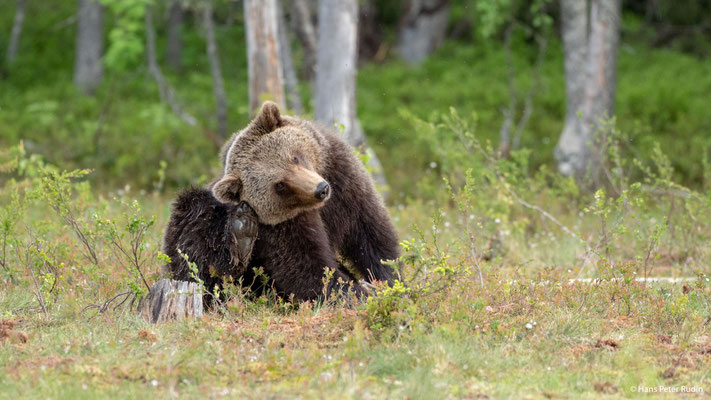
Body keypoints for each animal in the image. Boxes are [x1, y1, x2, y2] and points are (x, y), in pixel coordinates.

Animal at [164, 101, 404, 302]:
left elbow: (370, 232)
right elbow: (304, 265)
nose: (321, 189)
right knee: (195, 231)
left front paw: (388, 280)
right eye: (279, 185)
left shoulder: (343, 178)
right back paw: (241, 235)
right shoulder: (281, 226)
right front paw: (353, 292)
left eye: (294, 158)